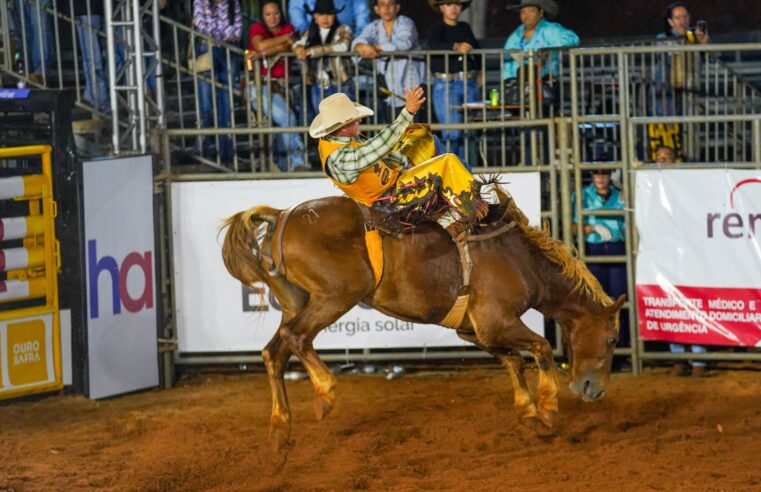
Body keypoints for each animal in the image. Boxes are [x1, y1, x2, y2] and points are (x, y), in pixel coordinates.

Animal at [218, 192, 624, 450]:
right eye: (611, 340)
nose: (595, 391)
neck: (521, 259)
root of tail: (281, 215)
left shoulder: (475, 330)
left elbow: (513, 360)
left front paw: (530, 414)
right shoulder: (496, 322)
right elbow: (539, 347)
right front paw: (549, 408)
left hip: (295, 300)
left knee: (274, 353)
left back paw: (280, 428)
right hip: (337, 295)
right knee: (296, 336)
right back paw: (326, 390)